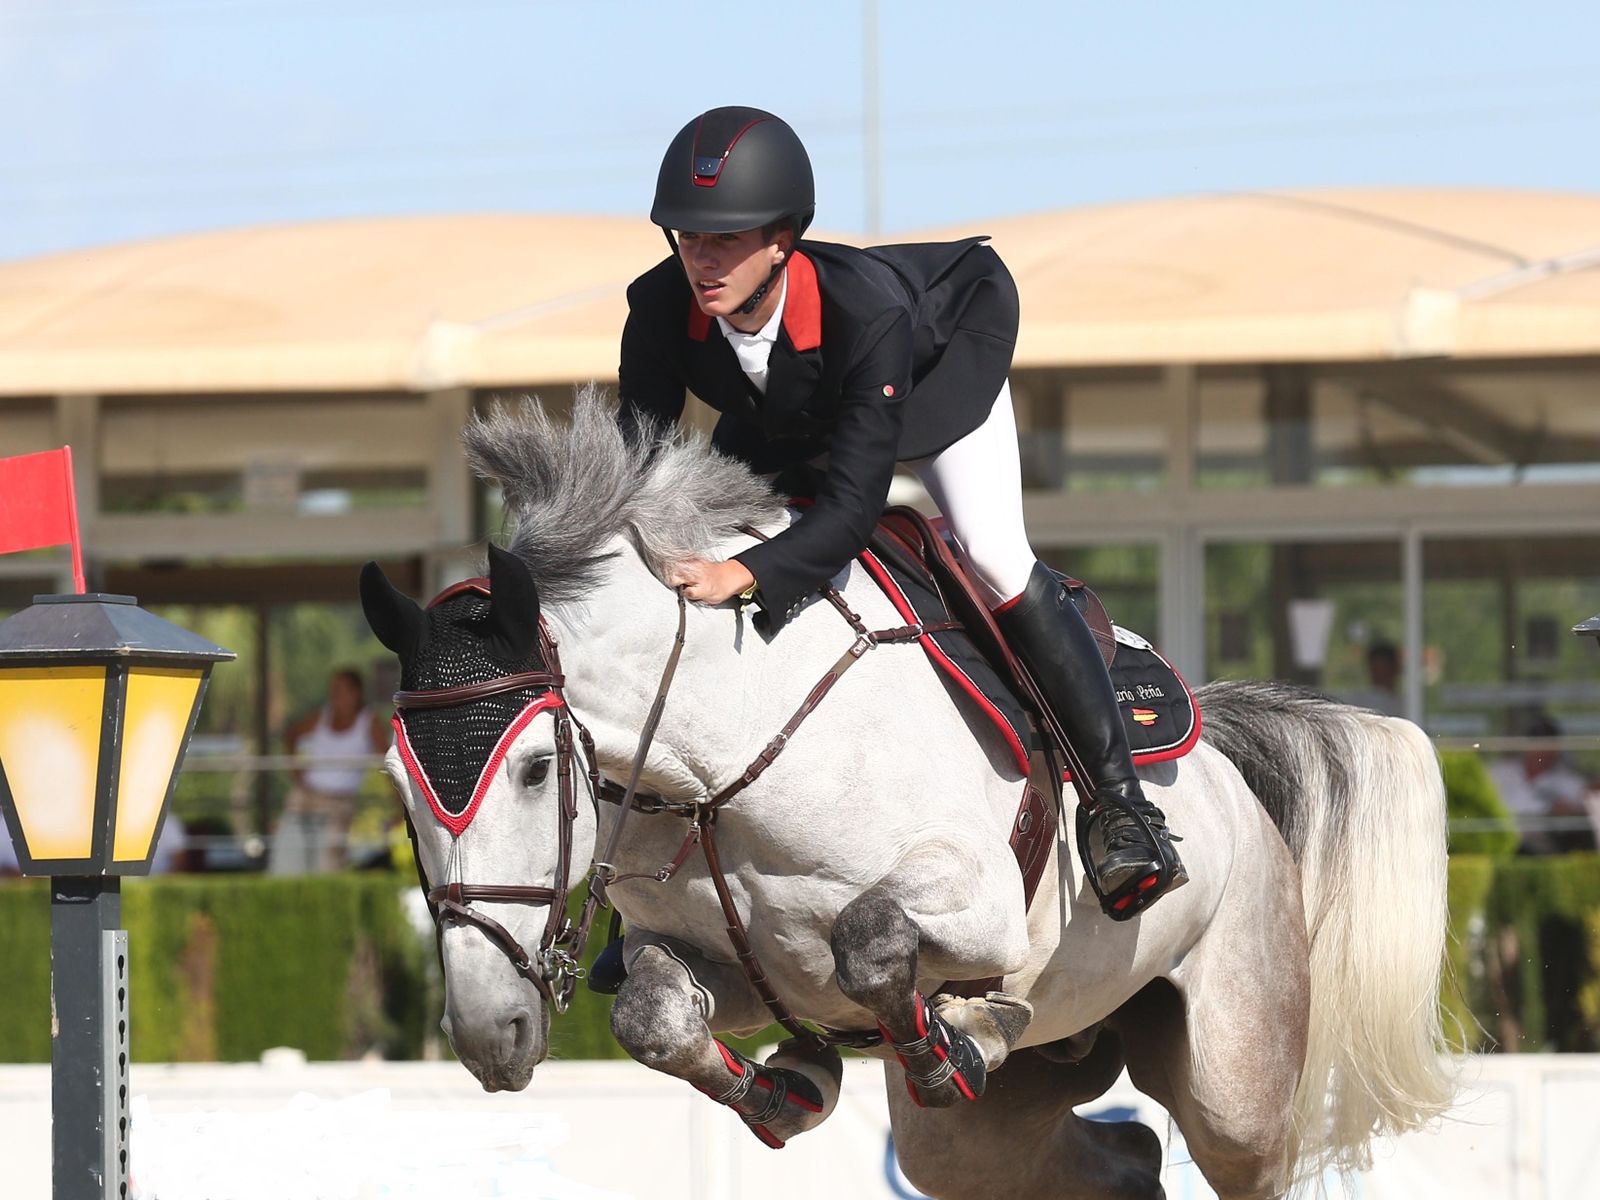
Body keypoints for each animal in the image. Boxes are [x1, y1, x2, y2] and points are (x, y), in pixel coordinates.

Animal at [359, 389, 1454, 1200]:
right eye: (399, 788)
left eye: (537, 770)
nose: (489, 1037)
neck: (726, 754)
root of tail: (1224, 762)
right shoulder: (726, 964)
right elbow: (653, 1018)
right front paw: (792, 1087)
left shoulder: (973, 899)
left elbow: (870, 937)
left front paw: (956, 1034)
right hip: (983, 1137)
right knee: (1117, 1162)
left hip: (1236, 1069)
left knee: (1221, 1141)